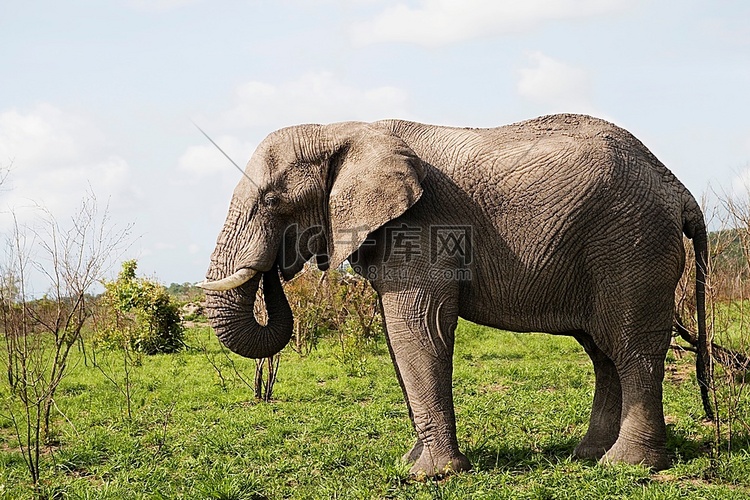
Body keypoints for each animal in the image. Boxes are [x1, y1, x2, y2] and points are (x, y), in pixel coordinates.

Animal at [200, 113, 712, 476]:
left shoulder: (423, 227)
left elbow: (418, 328)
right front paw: (411, 463)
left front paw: (432, 475)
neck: (343, 129)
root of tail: (679, 188)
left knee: (631, 348)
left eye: (271, 200)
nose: (275, 268)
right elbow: (399, 337)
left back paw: (626, 466)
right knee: (602, 352)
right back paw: (586, 455)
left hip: (632, 247)